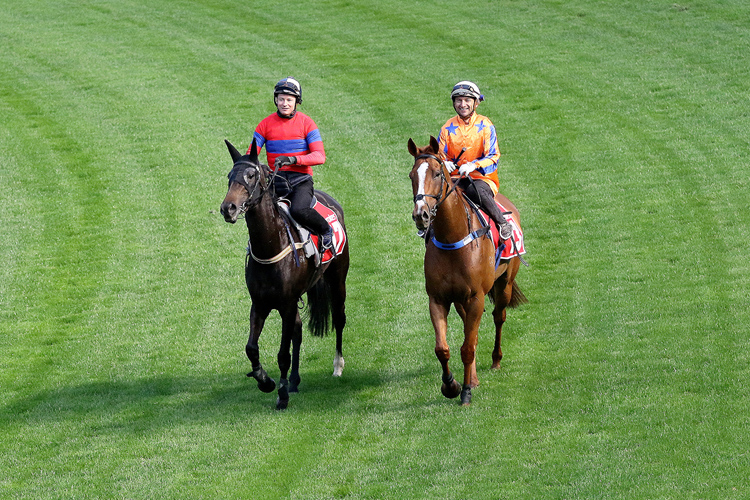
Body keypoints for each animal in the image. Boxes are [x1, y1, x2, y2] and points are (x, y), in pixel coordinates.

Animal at [217, 139, 346, 408]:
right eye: (229, 176)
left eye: (251, 175)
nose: (228, 208)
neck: (271, 246)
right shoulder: (260, 303)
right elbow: (251, 348)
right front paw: (265, 381)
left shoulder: (285, 304)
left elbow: (282, 354)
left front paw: (282, 396)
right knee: (298, 330)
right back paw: (294, 381)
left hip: (338, 278)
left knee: (339, 318)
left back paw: (338, 366)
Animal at [412, 136, 528, 406]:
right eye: (412, 175)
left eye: (437, 173)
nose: (421, 215)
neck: (453, 239)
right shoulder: (438, 299)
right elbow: (443, 348)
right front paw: (451, 385)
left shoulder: (476, 296)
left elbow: (467, 347)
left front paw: (465, 392)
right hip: (461, 299)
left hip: (504, 284)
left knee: (498, 317)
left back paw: (496, 360)